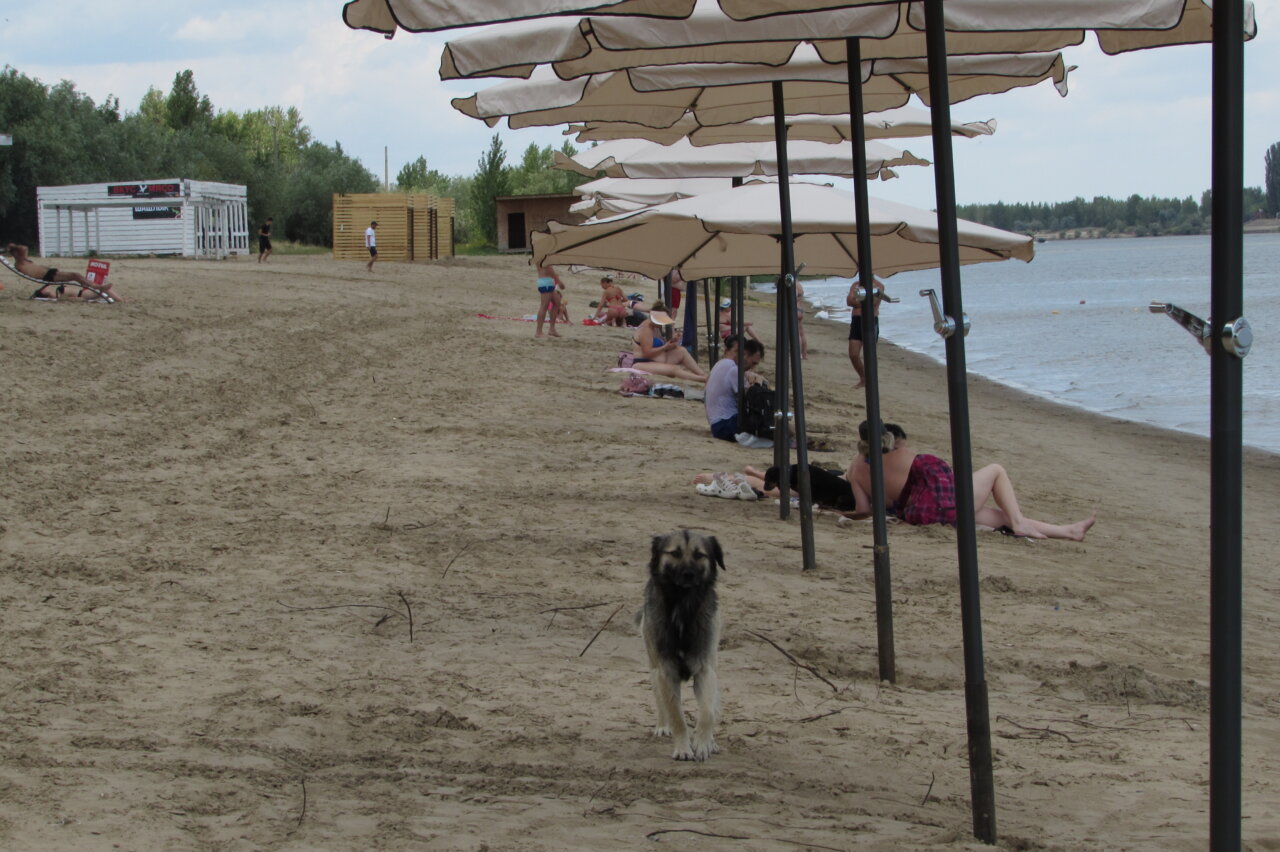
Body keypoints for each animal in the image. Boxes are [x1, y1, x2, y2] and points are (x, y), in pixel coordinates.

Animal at [637, 527, 727, 757]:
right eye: (675, 553)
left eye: (699, 555)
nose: (688, 574)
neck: (683, 604)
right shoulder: (665, 670)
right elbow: (676, 715)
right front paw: (683, 749)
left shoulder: (705, 669)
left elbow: (707, 712)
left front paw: (703, 744)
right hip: (654, 669)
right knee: (661, 702)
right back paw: (662, 725)